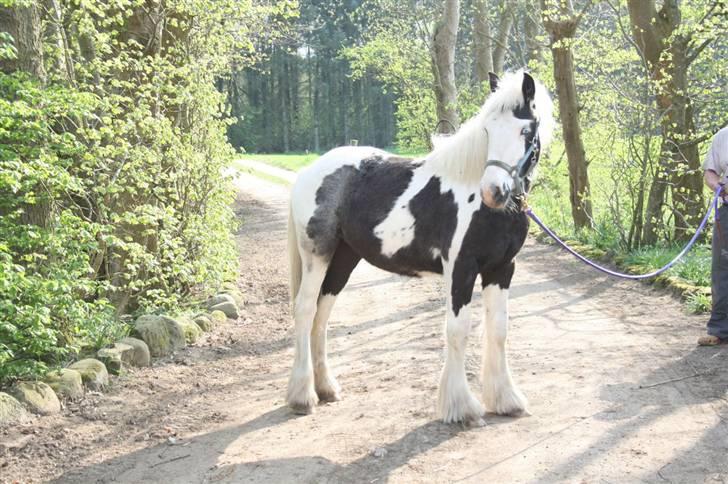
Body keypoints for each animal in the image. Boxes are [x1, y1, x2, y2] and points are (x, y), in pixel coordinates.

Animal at [288, 70, 556, 422]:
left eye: (525, 131)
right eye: (487, 129)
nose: (493, 191)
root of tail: (310, 171)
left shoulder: (502, 269)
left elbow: (498, 329)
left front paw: (506, 399)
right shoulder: (460, 269)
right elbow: (458, 329)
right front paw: (461, 407)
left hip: (344, 258)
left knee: (322, 314)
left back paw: (326, 388)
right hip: (317, 255)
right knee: (306, 310)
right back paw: (302, 396)